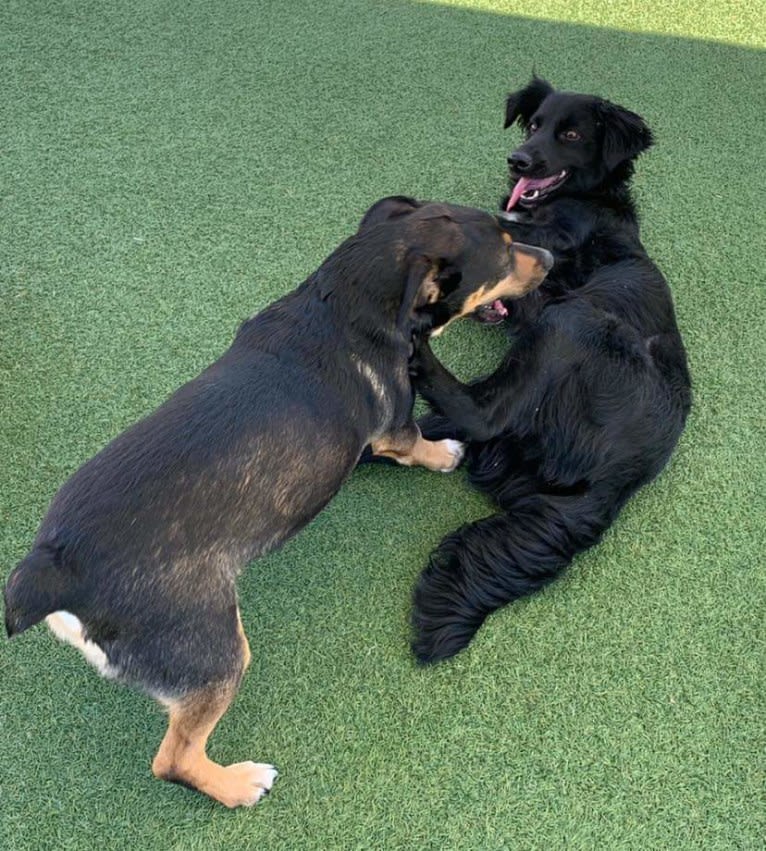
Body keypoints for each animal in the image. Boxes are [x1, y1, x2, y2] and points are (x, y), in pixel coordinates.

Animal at [0, 196, 552, 808]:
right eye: (506, 252)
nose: (551, 259)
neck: (344, 300)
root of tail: (54, 568)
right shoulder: (396, 428)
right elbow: (418, 447)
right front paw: (445, 453)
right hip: (215, 656)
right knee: (173, 759)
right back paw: (238, 784)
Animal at [412, 80, 692, 664]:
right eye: (535, 124)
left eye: (571, 134)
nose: (518, 161)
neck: (583, 200)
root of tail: (615, 483)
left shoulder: (558, 245)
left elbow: (493, 229)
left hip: (574, 323)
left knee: (483, 412)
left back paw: (416, 356)